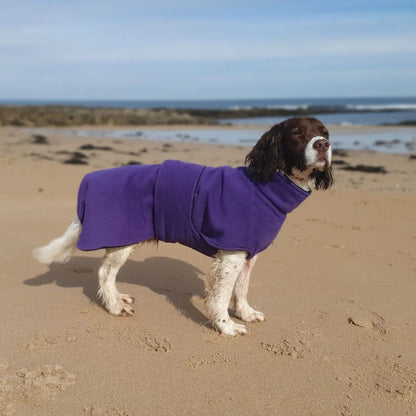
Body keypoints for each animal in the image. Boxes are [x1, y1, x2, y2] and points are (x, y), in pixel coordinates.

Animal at [32, 116, 334, 334]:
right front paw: (226, 326)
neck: (266, 185)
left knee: (108, 273)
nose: (323, 145)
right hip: (122, 241)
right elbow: (222, 296)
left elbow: (242, 289)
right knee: (105, 273)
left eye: (325, 132)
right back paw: (115, 307)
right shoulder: (231, 255)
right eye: (297, 133)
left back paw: (119, 298)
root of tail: (88, 181)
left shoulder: (248, 255)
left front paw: (246, 313)